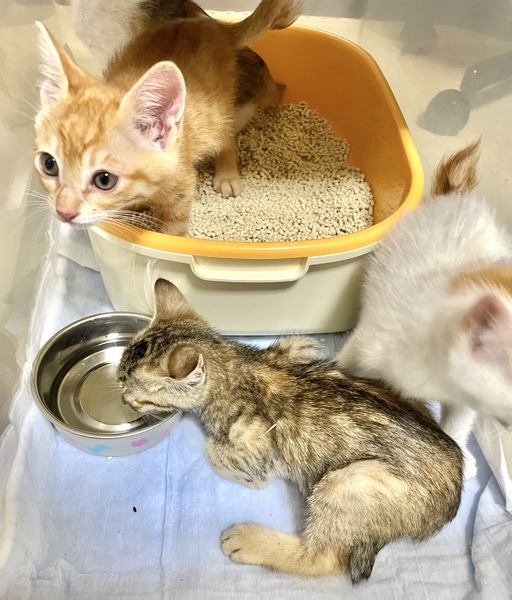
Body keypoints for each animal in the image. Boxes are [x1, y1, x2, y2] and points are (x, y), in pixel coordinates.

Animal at [34, 0, 302, 234]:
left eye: (104, 179)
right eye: (49, 164)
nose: (64, 211)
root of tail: (214, 27)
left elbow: (173, 226)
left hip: (219, 112)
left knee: (226, 136)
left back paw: (227, 174)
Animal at [117, 278, 463, 583]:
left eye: (137, 395)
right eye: (120, 378)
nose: (121, 398)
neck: (235, 363)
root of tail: (450, 503)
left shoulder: (258, 444)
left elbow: (215, 452)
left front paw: (245, 477)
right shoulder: (292, 347)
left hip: (347, 481)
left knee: (323, 558)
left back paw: (250, 540)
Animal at [336, 140, 512, 479]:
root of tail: (455, 197)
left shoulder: (465, 396)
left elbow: (458, 423)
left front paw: (460, 457)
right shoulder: (371, 339)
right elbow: (346, 362)